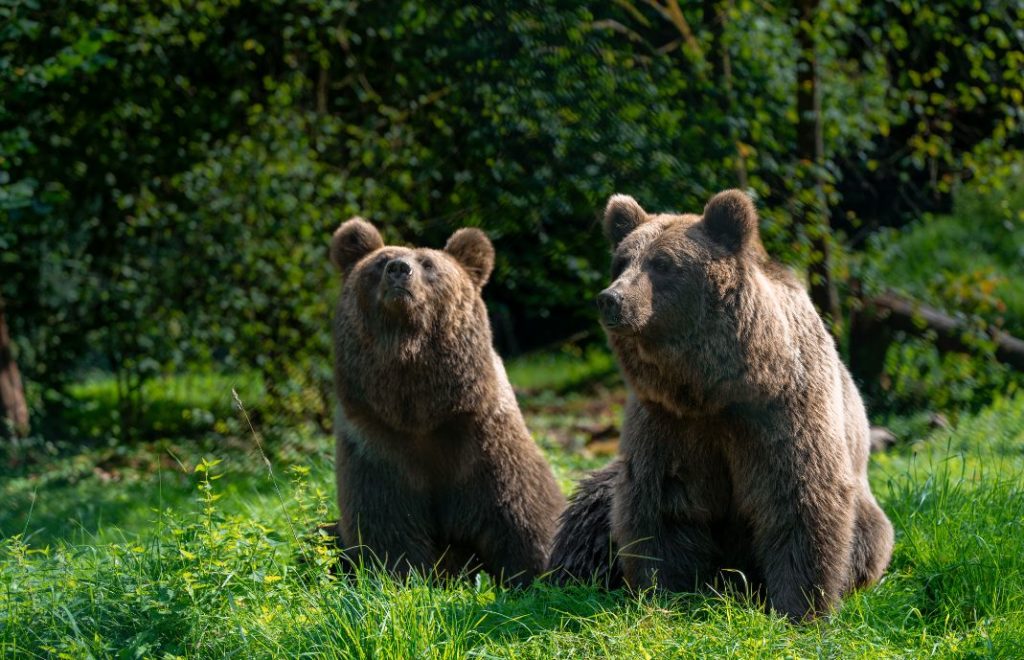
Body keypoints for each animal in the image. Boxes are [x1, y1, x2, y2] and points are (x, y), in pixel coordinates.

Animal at [327, 217, 565, 585]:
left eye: (428, 264)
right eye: (381, 262)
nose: (399, 269)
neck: (420, 411)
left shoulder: (484, 443)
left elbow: (523, 514)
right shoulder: (377, 442)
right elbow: (386, 527)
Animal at [548, 189, 892, 618]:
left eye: (663, 263)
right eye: (622, 261)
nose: (611, 299)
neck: (713, 389)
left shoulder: (780, 413)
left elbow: (798, 498)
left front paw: (800, 608)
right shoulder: (668, 420)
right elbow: (665, 503)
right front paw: (664, 595)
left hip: (869, 519)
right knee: (593, 510)